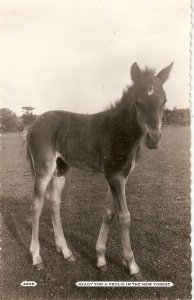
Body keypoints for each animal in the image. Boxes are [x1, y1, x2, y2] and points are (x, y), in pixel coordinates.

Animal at [25, 62, 173, 278]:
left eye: (164, 101)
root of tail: (32, 125)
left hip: (61, 169)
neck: (120, 130)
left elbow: (109, 212)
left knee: (54, 202)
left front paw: (101, 258)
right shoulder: (114, 175)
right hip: (44, 169)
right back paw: (37, 258)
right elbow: (124, 216)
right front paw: (132, 264)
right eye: (138, 102)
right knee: (36, 205)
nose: (154, 139)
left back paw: (66, 251)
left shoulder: (121, 176)